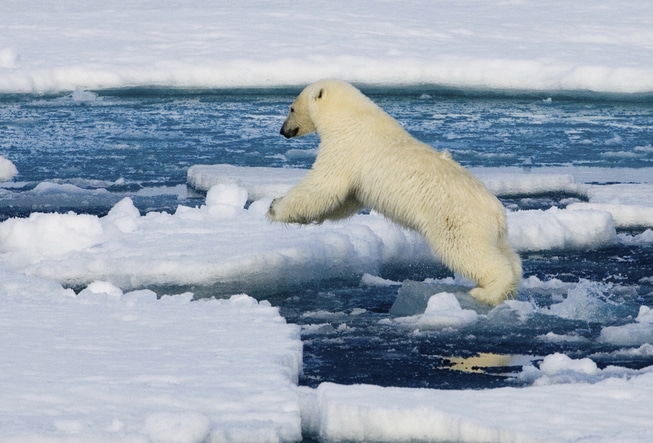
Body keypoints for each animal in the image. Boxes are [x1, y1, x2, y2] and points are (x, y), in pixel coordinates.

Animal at [264, 79, 520, 306]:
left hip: (457, 220)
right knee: (508, 254)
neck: (352, 116)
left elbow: (325, 185)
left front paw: (275, 206)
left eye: (291, 108)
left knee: (467, 250)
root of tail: (497, 212)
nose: (283, 131)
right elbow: (346, 200)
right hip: (491, 230)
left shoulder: (347, 147)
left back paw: (487, 291)